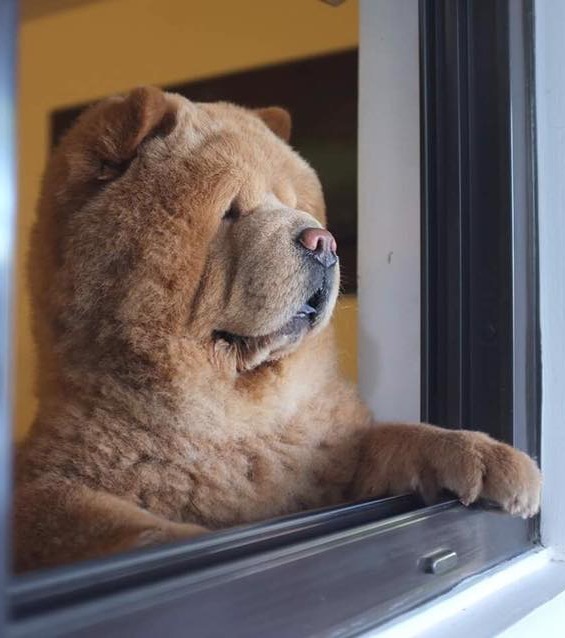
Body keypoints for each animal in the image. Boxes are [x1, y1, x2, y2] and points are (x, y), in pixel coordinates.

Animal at [13, 87, 540, 572]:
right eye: (230, 210)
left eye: (293, 204)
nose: (324, 242)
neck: (239, 418)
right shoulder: (48, 489)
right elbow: (104, 524)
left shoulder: (332, 460)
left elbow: (399, 436)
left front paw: (490, 455)